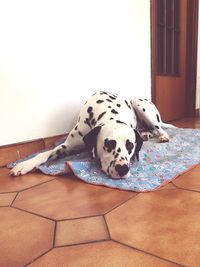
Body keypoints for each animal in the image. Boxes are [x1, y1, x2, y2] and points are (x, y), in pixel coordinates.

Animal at [10, 92, 174, 180]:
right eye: (109, 144)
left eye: (130, 146)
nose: (123, 169)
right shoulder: (67, 146)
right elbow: (44, 153)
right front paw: (25, 165)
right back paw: (145, 134)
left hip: (139, 103)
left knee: (159, 128)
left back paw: (162, 136)